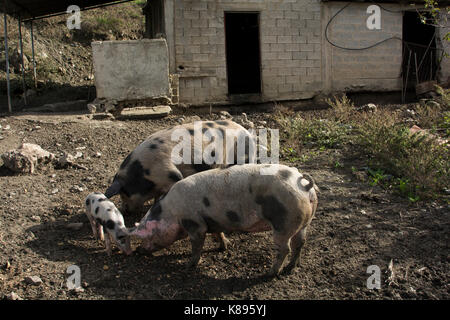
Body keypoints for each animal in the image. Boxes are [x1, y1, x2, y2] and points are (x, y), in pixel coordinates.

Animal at [130, 164, 318, 276]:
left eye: (148, 234)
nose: (137, 251)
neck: (171, 211)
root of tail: (304, 185)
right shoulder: (212, 221)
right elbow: (218, 234)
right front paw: (224, 247)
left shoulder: (195, 224)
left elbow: (196, 246)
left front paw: (188, 266)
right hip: (304, 222)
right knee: (300, 242)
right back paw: (291, 268)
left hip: (284, 222)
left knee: (285, 248)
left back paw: (270, 273)